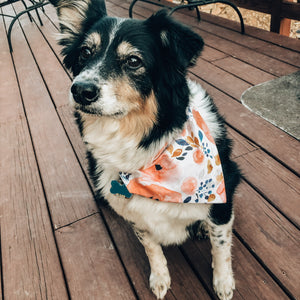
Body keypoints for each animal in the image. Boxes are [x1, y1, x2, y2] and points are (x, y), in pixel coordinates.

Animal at [49, 1, 241, 298]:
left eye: (133, 61)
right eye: (85, 53)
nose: (80, 90)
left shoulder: (223, 200)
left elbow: (220, 246)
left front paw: (223, 283)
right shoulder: (135, 215)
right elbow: (152, 248)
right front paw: (160, 278)